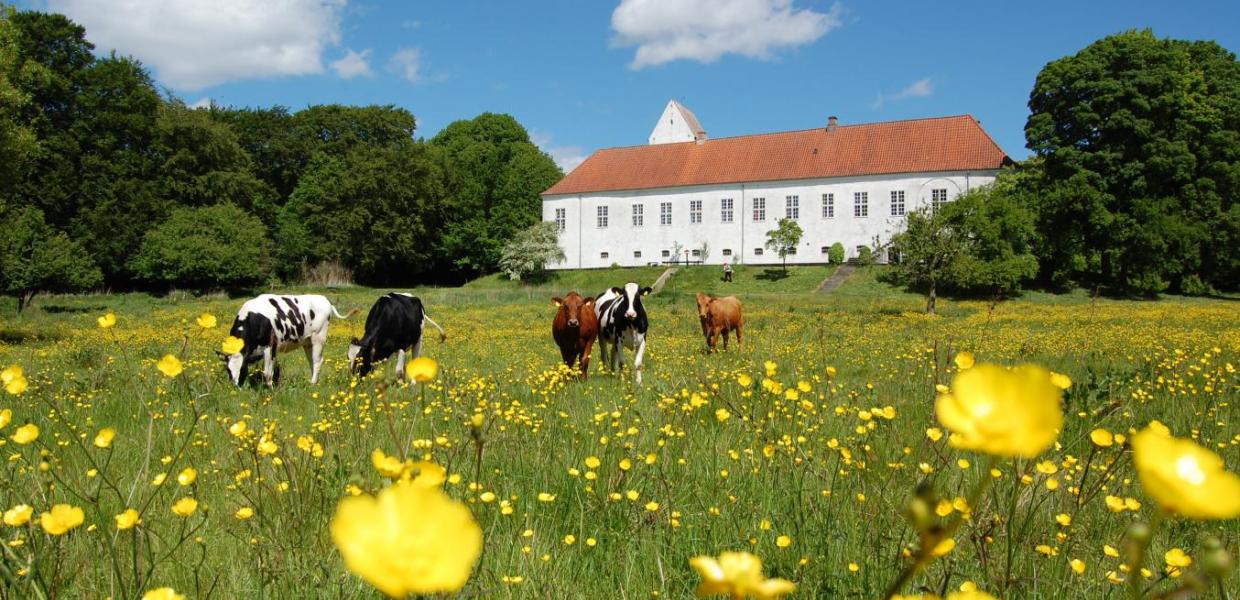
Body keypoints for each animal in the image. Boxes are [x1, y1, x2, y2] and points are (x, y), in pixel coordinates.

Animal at [219, 292, 349, 386]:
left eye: (241, 369)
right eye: (228, 370)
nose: (236, 387)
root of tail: (324, 299)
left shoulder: (271, 347)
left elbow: (268, 373)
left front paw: (270, 390)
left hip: (319, 337)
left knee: (317, 361)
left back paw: (312, 383)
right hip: (308, 342)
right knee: (311, 361)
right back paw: (313, 381)